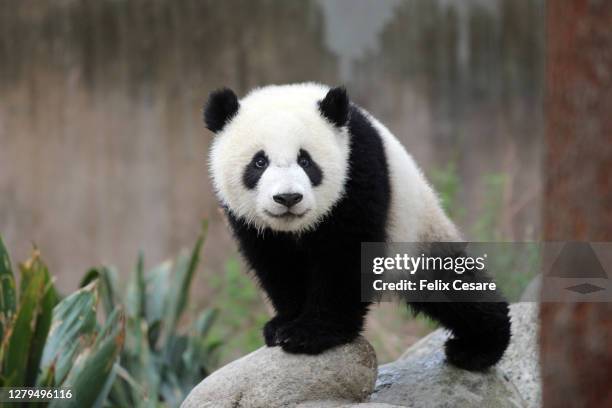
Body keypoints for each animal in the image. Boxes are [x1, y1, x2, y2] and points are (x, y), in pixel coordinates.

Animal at [206, 82, 512, 370]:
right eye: (259, 162)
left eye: (306, 161)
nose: (288, 198)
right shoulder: (252, 223)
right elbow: (277, 264)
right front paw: (283, 324)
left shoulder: (357, 169)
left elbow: (347, 255)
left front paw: (312, 333)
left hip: (417, 230)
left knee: (450, 285)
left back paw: (478, 348)